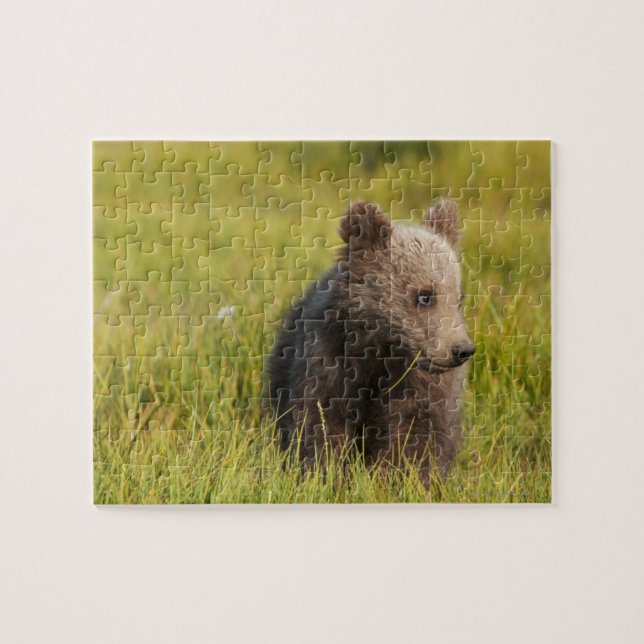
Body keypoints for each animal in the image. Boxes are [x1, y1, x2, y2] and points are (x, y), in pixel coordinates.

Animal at [267, 199, 474, 481]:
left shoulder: (422, 389)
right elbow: (320, 425)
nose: (461, 350)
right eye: (425, 296)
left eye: (459, 297)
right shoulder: (329, 364)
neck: (382, 350)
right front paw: (324, 473)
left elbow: (416, 440)